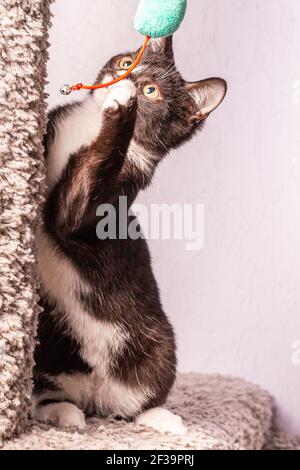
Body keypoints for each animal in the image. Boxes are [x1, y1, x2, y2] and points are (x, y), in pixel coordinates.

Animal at [32, 35, 226, 434]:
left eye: (151, 91)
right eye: (125, 62)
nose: (127, 78)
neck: (88, 127)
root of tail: (97, 395)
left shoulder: (111, 191)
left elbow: (77, 200)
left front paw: (125, 108)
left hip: (160, 345)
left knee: (145, 394)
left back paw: (162, 417)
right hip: (50, 341)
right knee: (49, 389)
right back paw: (63, 413)